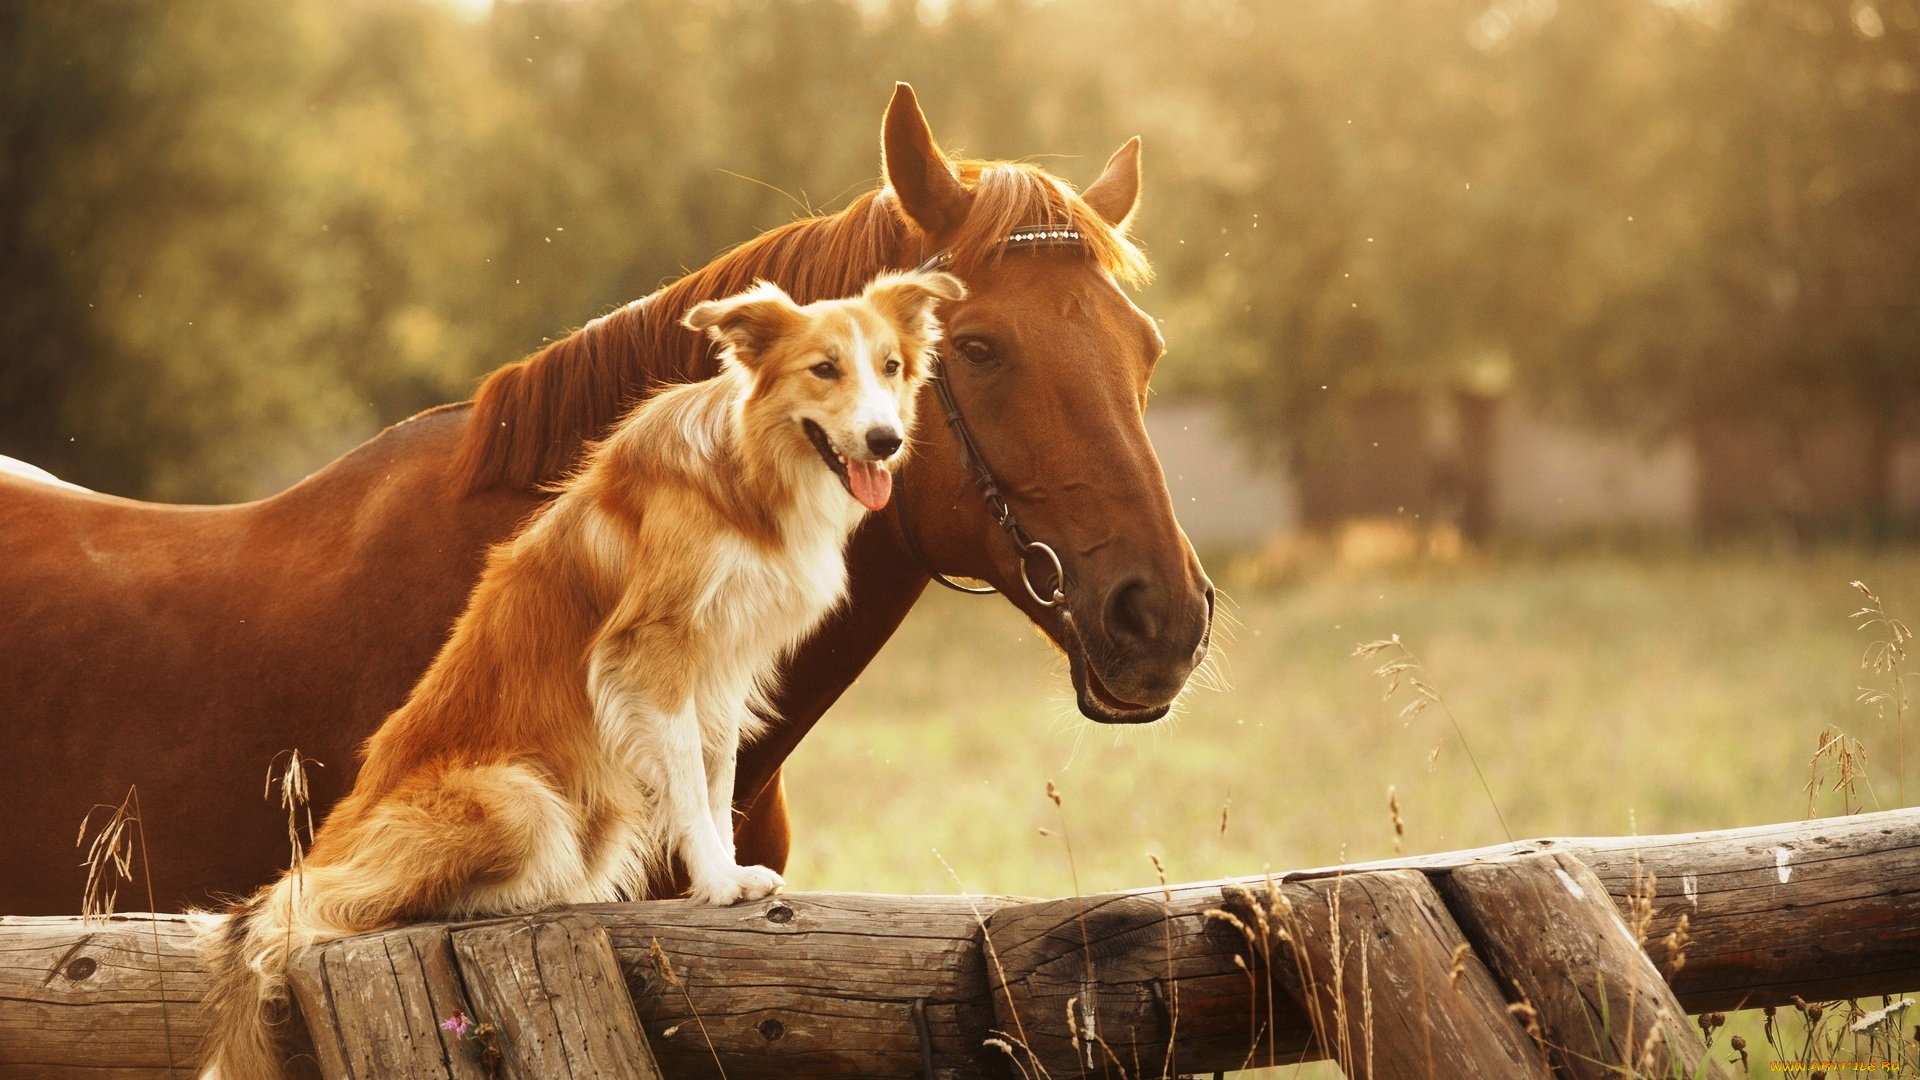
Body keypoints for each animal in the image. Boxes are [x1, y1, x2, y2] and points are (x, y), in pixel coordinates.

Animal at [198, 265, 960, 1068]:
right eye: (824, 369)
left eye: (891, 367)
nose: (886, 440)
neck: (747, 473)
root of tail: (329, 844)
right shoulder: (654, 652)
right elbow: (688, 781)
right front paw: (718, 882)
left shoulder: (722, 666)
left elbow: (716, 778)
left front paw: (727, 873)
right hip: (520, 800)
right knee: (324, 905)